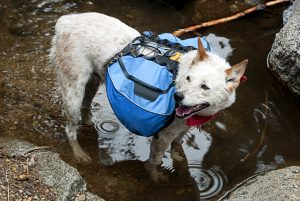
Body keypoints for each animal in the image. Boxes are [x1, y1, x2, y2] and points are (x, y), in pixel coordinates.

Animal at [49, 12, 246, 182]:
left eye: (205, 87)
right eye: (189, 78)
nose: (177, 96)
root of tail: (65, 22)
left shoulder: (182, 130)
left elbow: (177, 146)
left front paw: (178, 158)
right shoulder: (162, 136)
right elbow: (155, 161)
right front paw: (155, 178)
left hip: (93, 81)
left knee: (86, 105)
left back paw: (89, 122)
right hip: (73, 87)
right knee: (70, 128)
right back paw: (79, 154)